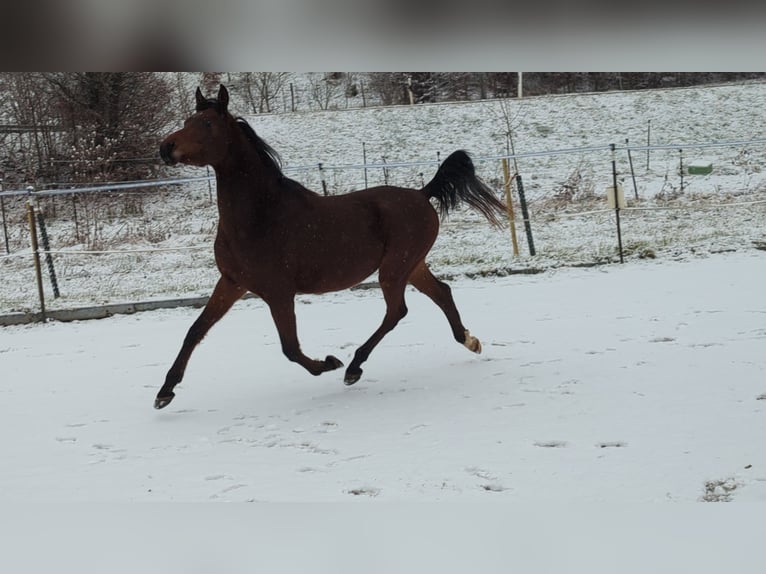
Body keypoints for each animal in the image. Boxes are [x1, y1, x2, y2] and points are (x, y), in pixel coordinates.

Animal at [153, 84, 508, 410]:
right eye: (187, 120)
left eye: (207, 123)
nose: (165, 147)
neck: (260, 216)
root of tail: (422, 194)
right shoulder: (231, 283)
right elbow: (195, 330)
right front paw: (164, 392)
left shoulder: (278, 292)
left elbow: (290, 347)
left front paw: (329, 363)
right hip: (412, 265)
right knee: (441, 293)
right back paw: (470, 341)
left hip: (394, 269)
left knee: (397, 311)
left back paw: (353, 367)